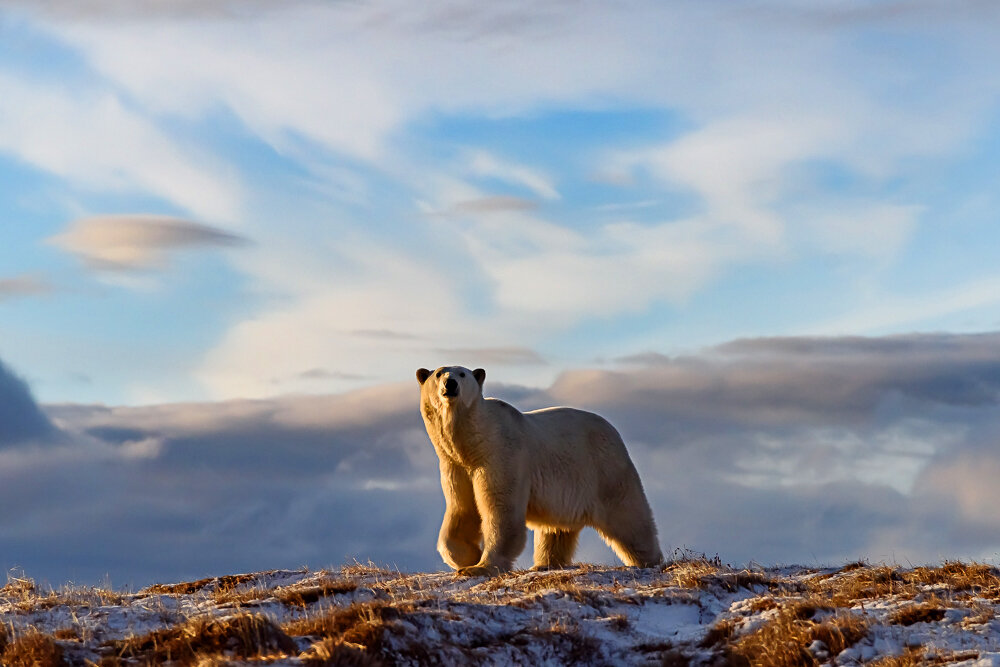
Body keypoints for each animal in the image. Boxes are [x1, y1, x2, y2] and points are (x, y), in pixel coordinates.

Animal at [416, 362, 664, 576]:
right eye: (439, 373)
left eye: (462, 374)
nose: (450, 384)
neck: (474, 443)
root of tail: (614, 432)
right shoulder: (455, 465)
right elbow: (462, 509)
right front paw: (469, 558)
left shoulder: (502, 455)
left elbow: (500, 509)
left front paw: (482, 566)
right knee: (555, 528)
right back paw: (545, 563)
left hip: (604, 469)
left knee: (628, 515)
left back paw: (649, 560)